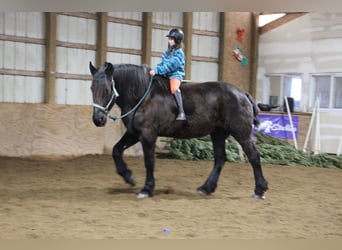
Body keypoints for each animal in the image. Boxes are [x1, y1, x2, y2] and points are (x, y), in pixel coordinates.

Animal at [89, 62, 268, 199]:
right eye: (91, 88)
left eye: (107, 89)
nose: (98, 119)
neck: (143, 96)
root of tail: (242, 94)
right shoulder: (134, 134)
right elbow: (116, 150)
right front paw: (129, 177)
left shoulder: (148, 135)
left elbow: (149, 162)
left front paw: (147, 189)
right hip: (218, 133)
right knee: (220, 159)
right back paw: (206, 188)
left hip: (241, 133)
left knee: (254, 157)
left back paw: (259, 190)